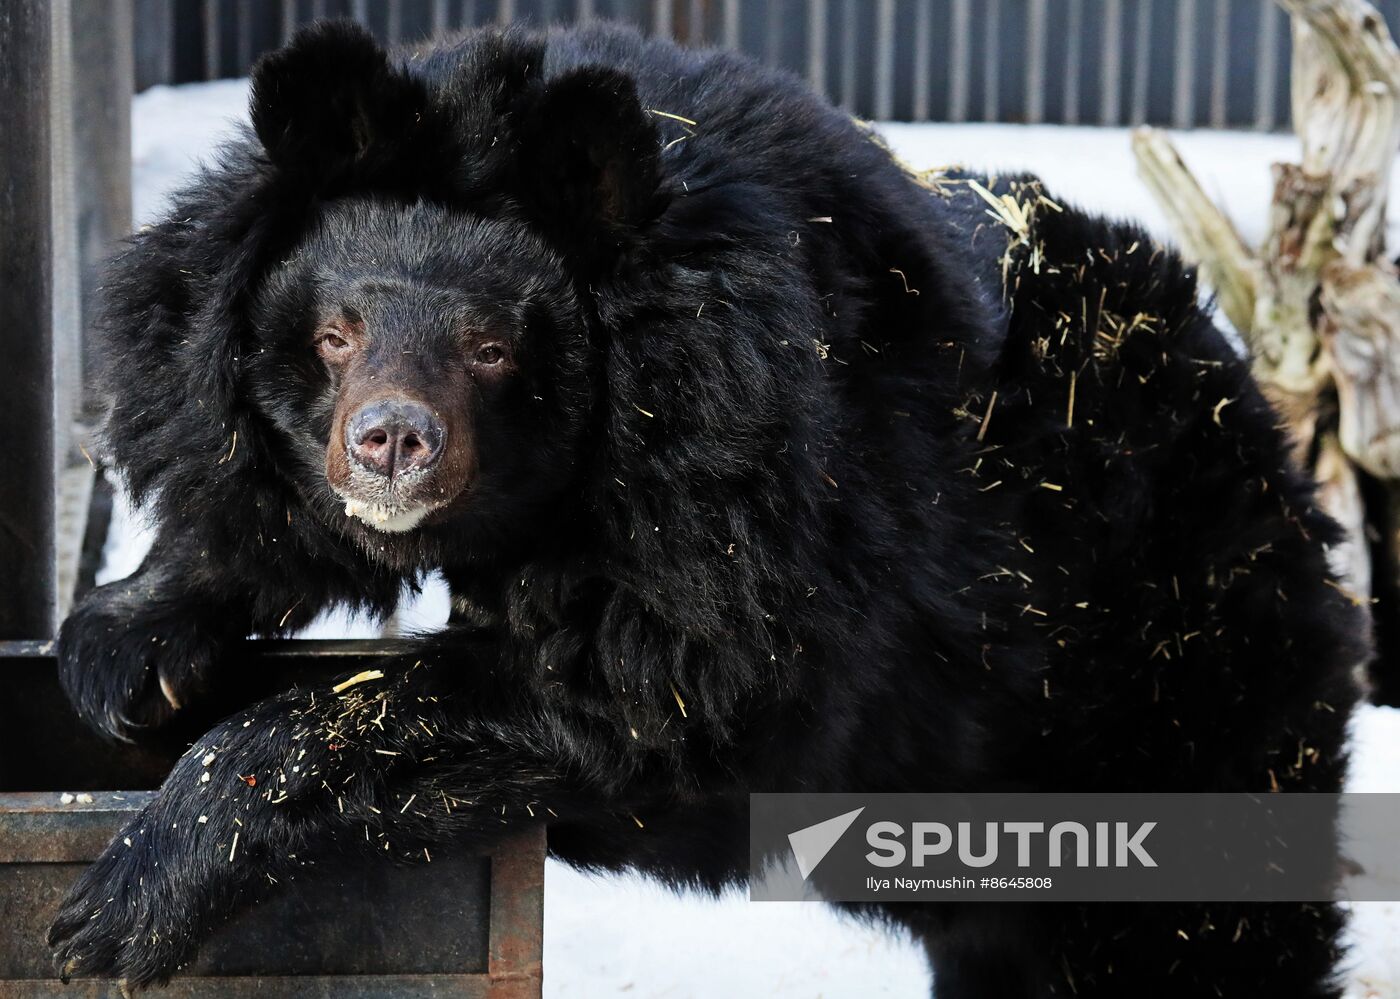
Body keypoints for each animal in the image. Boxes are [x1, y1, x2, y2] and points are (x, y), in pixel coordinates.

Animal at [48, 20, 1363, 997]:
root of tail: (1271, 447)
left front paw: (117, 904)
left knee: (1193, 929)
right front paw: (121, 648)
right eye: (337, 331)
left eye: (490, 347)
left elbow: (639, 703)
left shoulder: (756, 519)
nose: (389, 444)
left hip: (1170, 696)